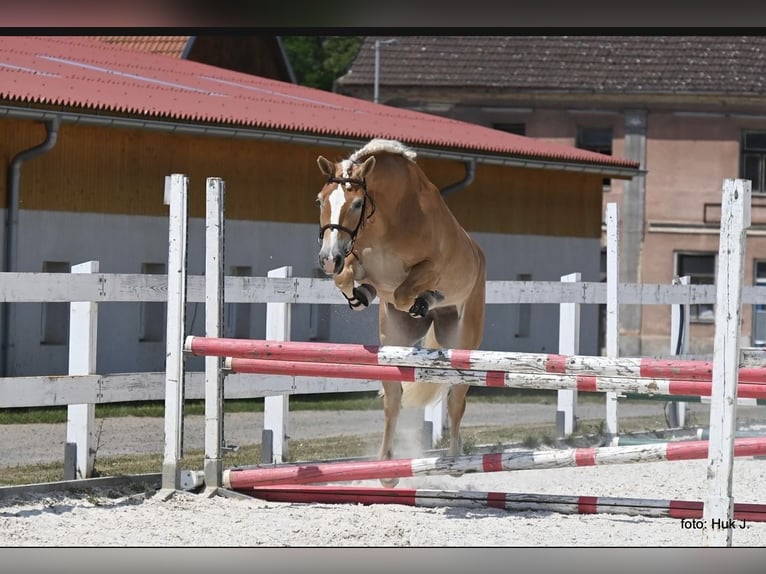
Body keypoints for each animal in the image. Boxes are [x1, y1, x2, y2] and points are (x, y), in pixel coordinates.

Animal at [314, 138, 486, 486]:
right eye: (320, 200)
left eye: (356, 204)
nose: (326, 258)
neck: (386, 220)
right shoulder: (354, 260)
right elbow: (347, 277)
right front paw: (360, 295)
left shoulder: (430, 268)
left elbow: (404, 292)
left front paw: (424, 299)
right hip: (394, 341)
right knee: (393, 400)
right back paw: (386, 469)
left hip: (462, 343)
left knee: (456, 400)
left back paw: (455, 460)